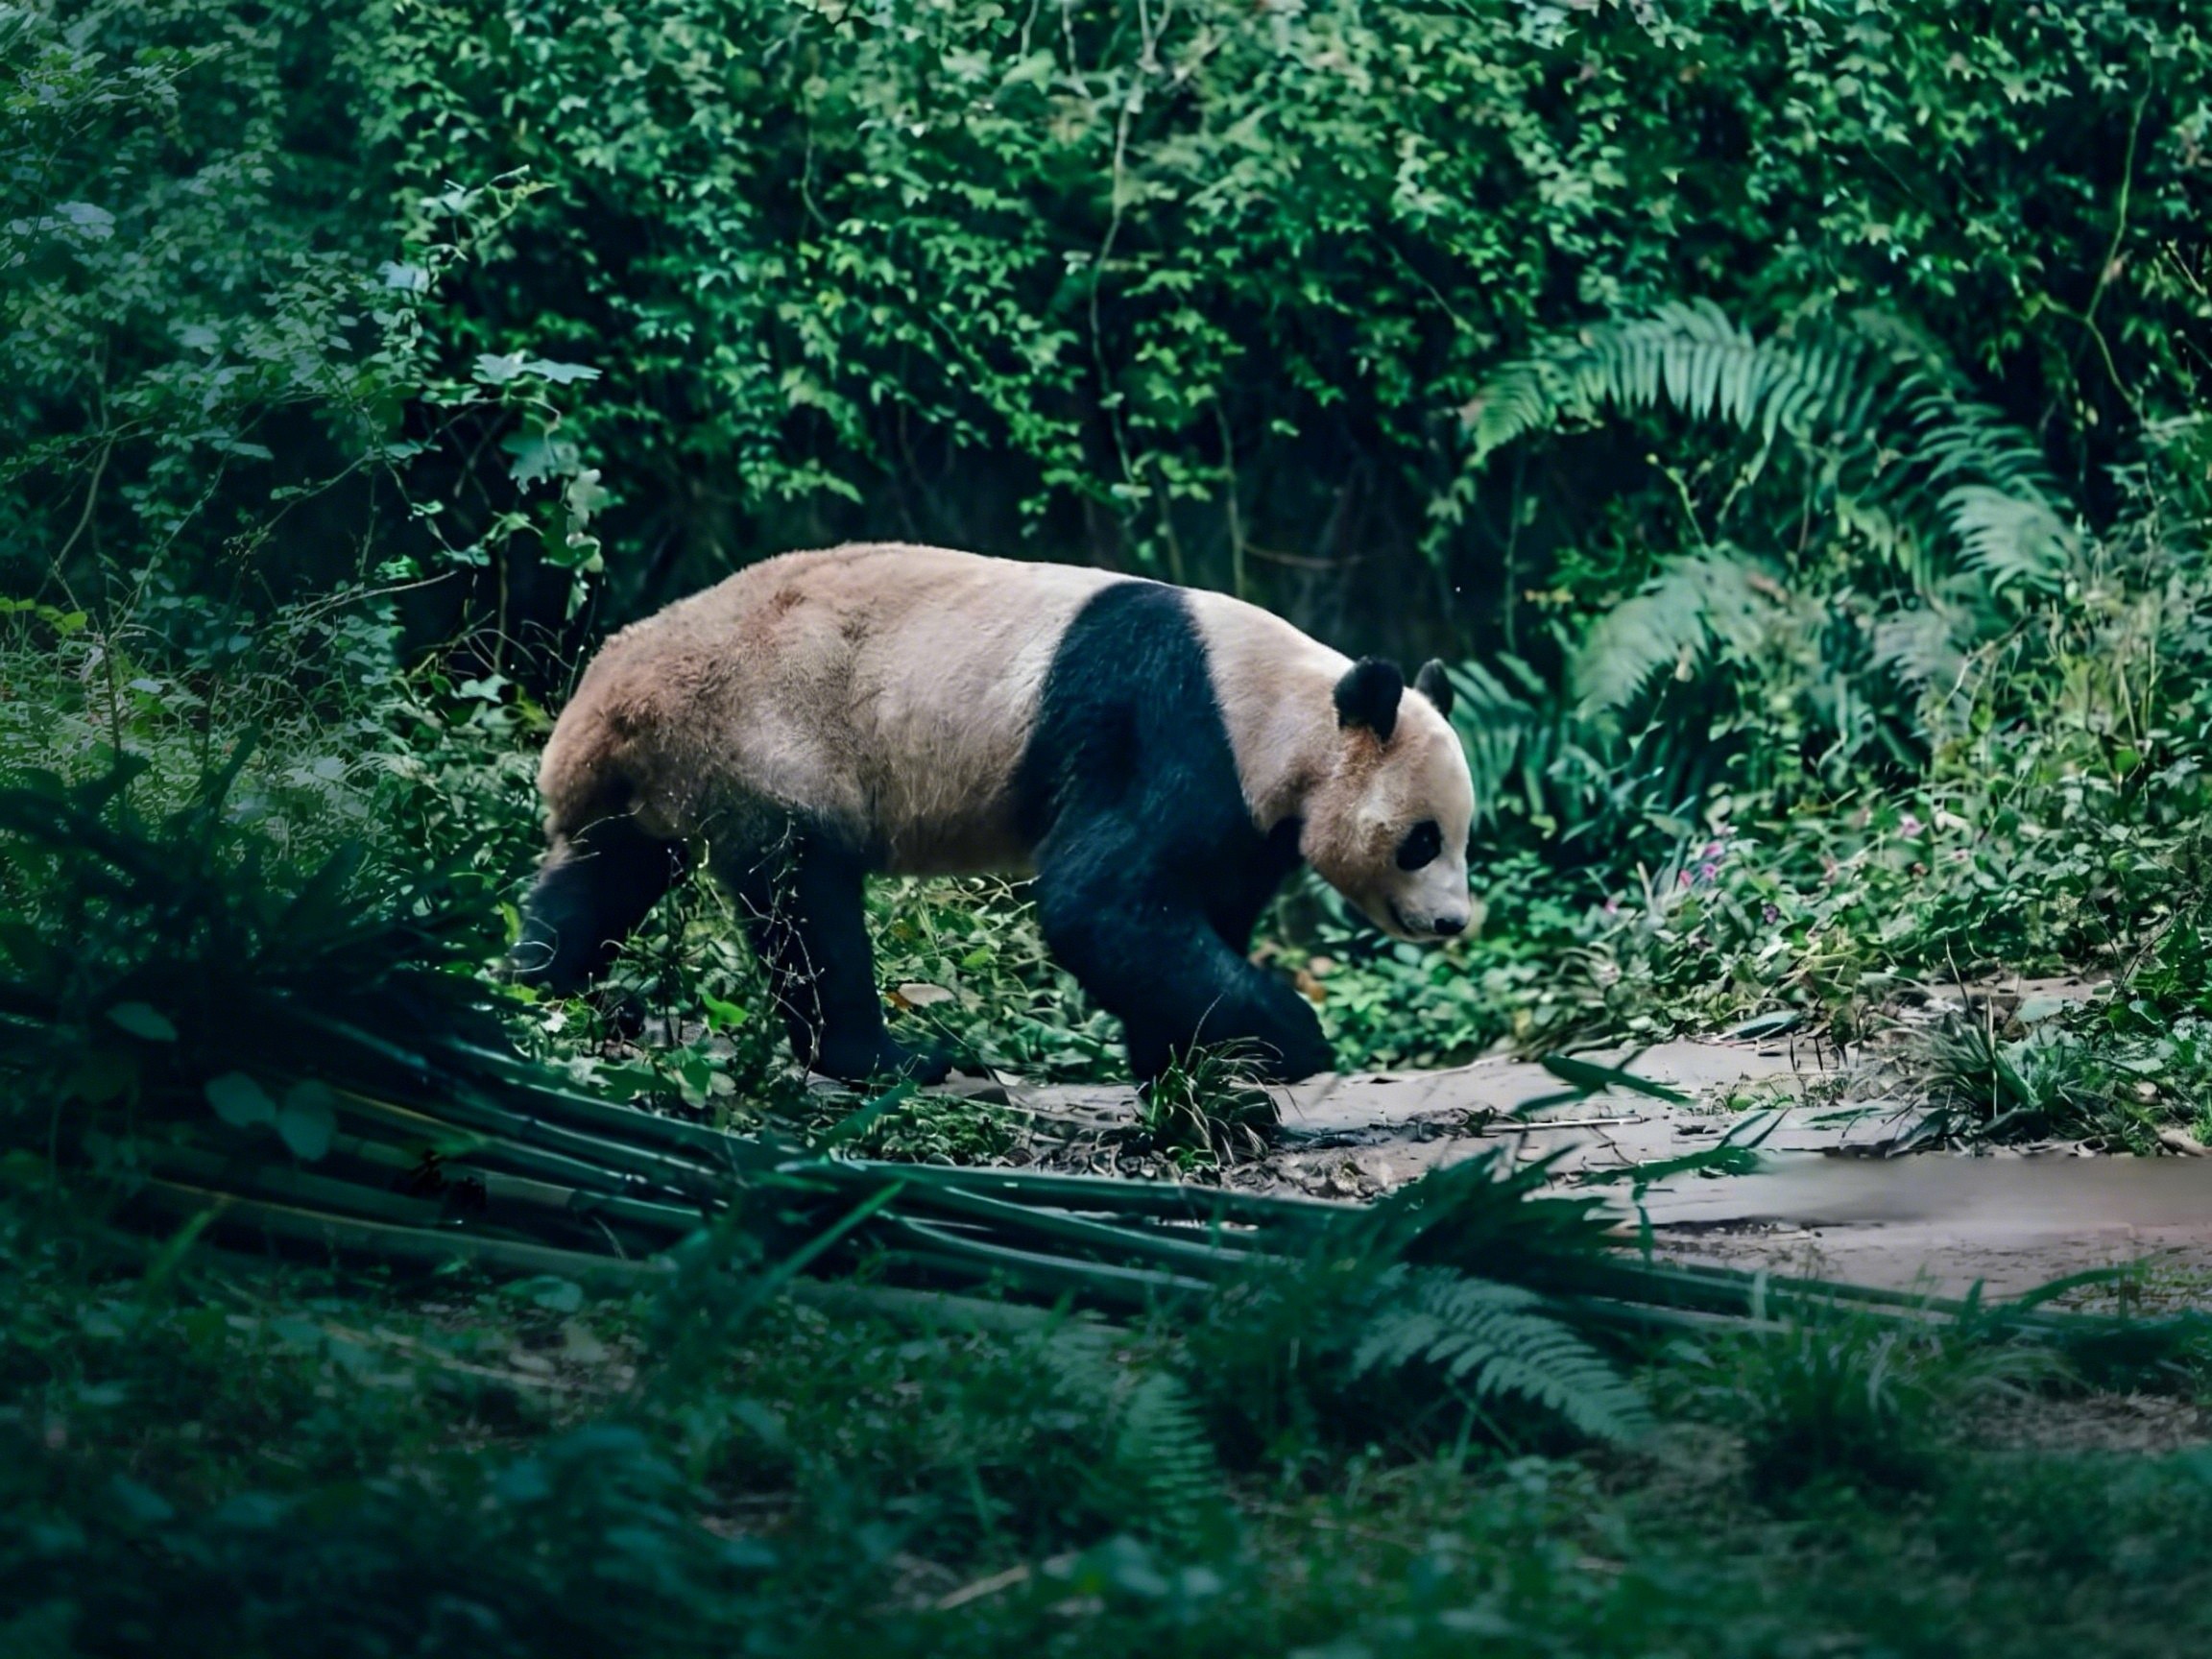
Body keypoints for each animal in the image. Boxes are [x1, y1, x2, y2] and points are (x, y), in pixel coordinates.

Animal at [511, 542, 1475, 1087]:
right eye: (1422, 841)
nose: (1453, 922)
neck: (1292, 708)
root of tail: (609, 698)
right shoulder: (1173, 724)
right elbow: (1101, 901)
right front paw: (1293, 1037)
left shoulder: (1246, 809)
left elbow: (1191, 909)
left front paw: (1188, 1052)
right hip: (765, 732)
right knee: (806, 900)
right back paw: (887, 1059)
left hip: (667, 775)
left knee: (603, 873)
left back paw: (539, 988)